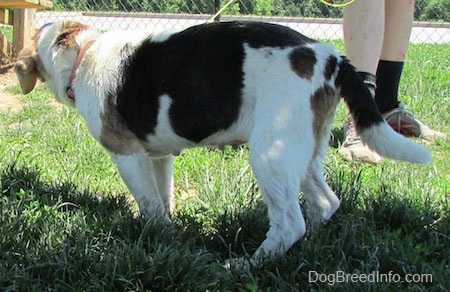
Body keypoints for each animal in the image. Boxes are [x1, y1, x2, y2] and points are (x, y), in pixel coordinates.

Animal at [15, 20, 430, 262]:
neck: (83, 56)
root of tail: (330, 56)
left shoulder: (127, 154)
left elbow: (149, 203)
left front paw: (157, 237)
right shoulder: (159, 156)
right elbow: (162, 199)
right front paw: (168, 236)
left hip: (270, 153)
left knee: (289, 223)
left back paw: (250, 264)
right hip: (303, 151)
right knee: (325, 203)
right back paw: (307, 249)